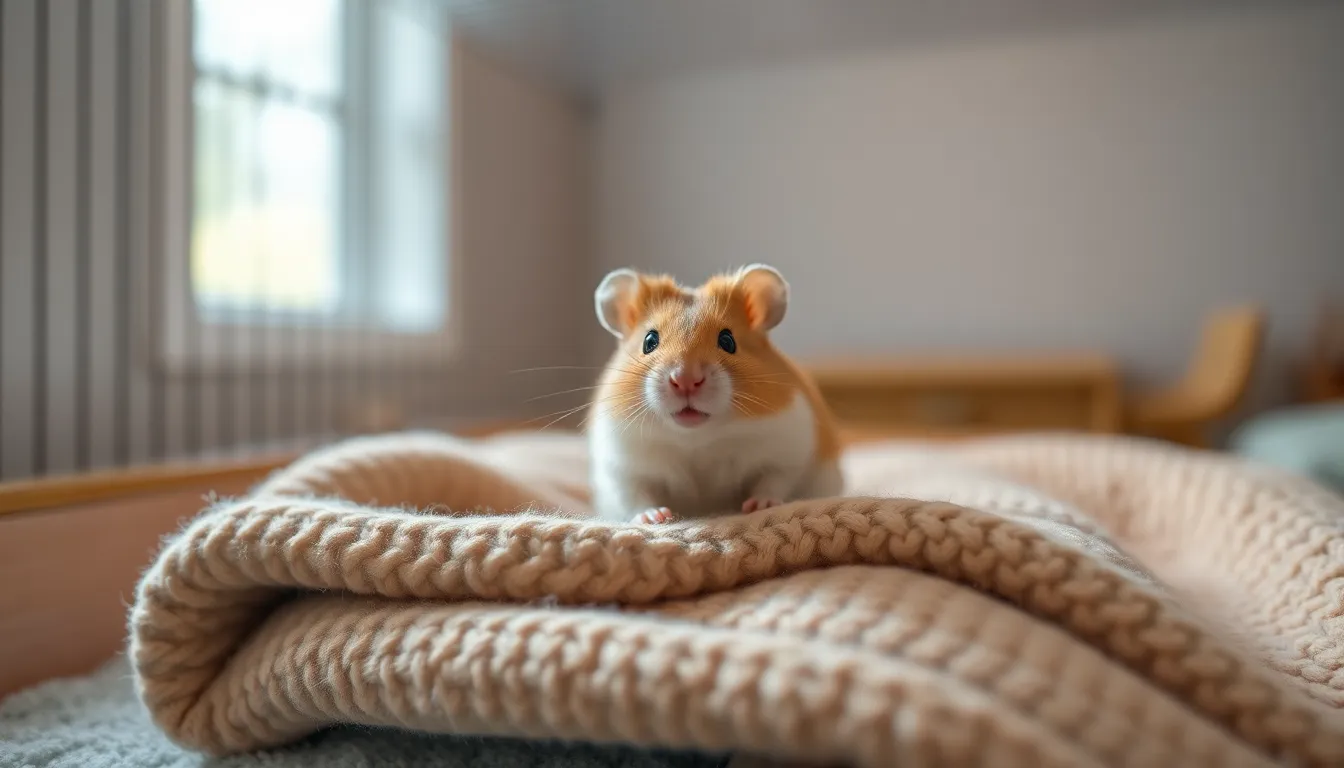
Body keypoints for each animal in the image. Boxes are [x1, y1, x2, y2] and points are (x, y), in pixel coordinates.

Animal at [587, 263, 844, 524]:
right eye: (649, 341)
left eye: (728, 341)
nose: (685, 380)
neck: (697, 438)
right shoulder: (622, 469)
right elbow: (635, 497)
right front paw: (656, 517)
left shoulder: (789, 454)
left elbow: (774, 481)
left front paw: (758, 506)